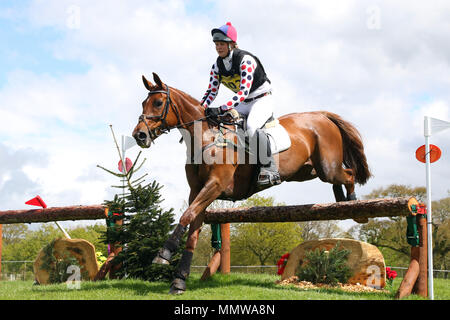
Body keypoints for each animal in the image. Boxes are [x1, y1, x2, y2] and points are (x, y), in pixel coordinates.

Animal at [132, 72, 370, 296]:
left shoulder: (215, 185)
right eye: (143, 103)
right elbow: (192, 230)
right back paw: (340, 201)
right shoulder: (197, 191)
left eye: (158, 103)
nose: (139, 135)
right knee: (338, 178)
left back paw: (354, 207)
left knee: (349, 174)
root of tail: (322, 115)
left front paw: (164, 254)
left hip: (328, 168)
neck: (207, 138)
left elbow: (186, 216)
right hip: (308, 171)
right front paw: (179, 281)